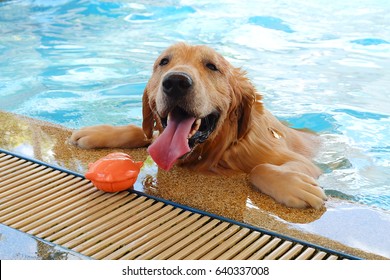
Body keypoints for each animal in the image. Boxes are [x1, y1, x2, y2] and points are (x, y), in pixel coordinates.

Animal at [70, 42, 326, 209]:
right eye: (164, 62)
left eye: (212, 66)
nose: (176, 82)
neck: (220, 148)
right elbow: (144, 132)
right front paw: (98, 133)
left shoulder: (301, 162)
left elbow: (259, 168)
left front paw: (294, 186)